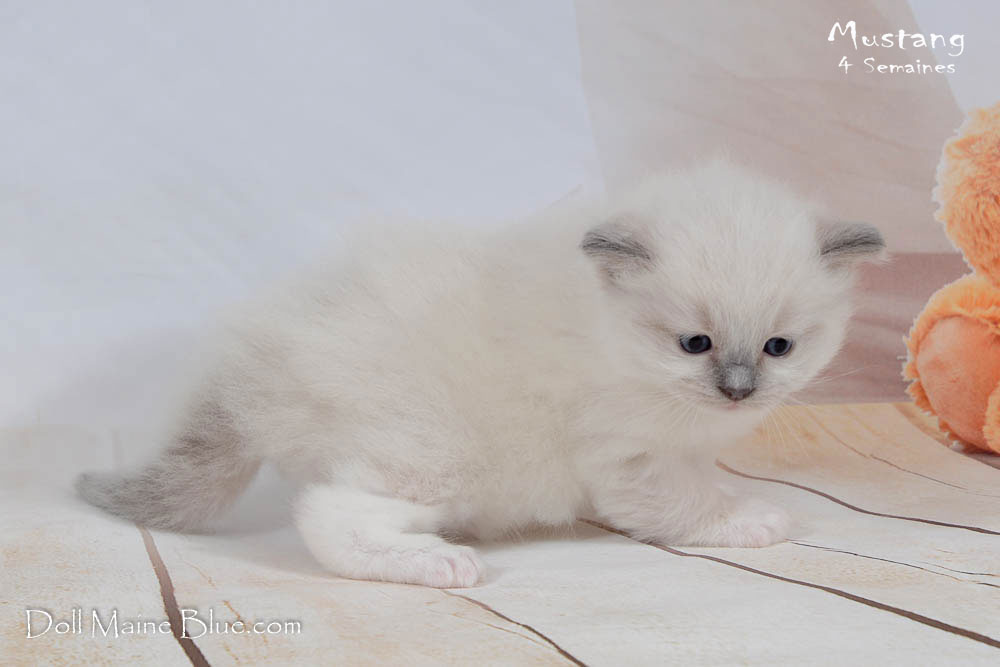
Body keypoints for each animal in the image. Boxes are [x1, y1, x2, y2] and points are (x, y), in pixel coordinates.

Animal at [77, 159, 884, 588]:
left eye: (779, 347)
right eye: (695, 342)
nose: (738, 390)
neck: (606, 332)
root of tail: (252, 359)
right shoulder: (628, 459)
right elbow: (688, 505)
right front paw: (749, 519)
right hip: (432, 456)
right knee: (329, 515)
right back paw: (437, 565)